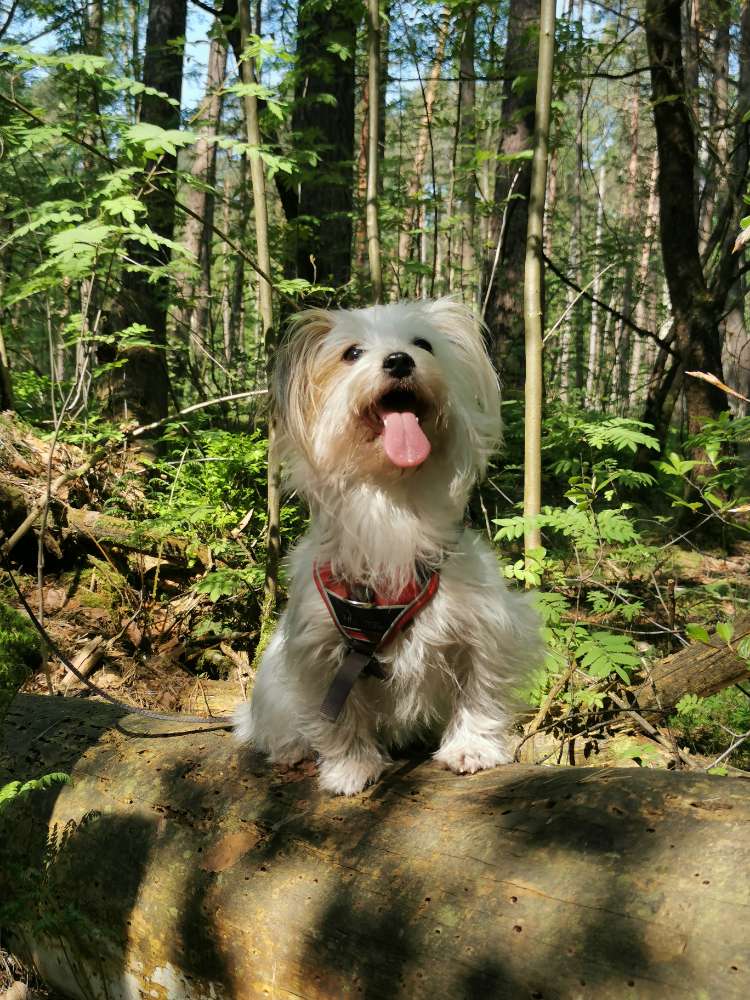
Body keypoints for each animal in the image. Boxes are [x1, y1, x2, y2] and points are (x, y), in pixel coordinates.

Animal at [235, 296, 540, 796]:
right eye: (352, 353)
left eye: (423, 344)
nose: (399, 360)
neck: (394, 503)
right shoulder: (322, 650)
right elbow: (339, 717)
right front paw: (351, 767)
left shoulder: (484, 627)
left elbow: (480, 688)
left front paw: (472, 747)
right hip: (274, 689)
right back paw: (290, 748)